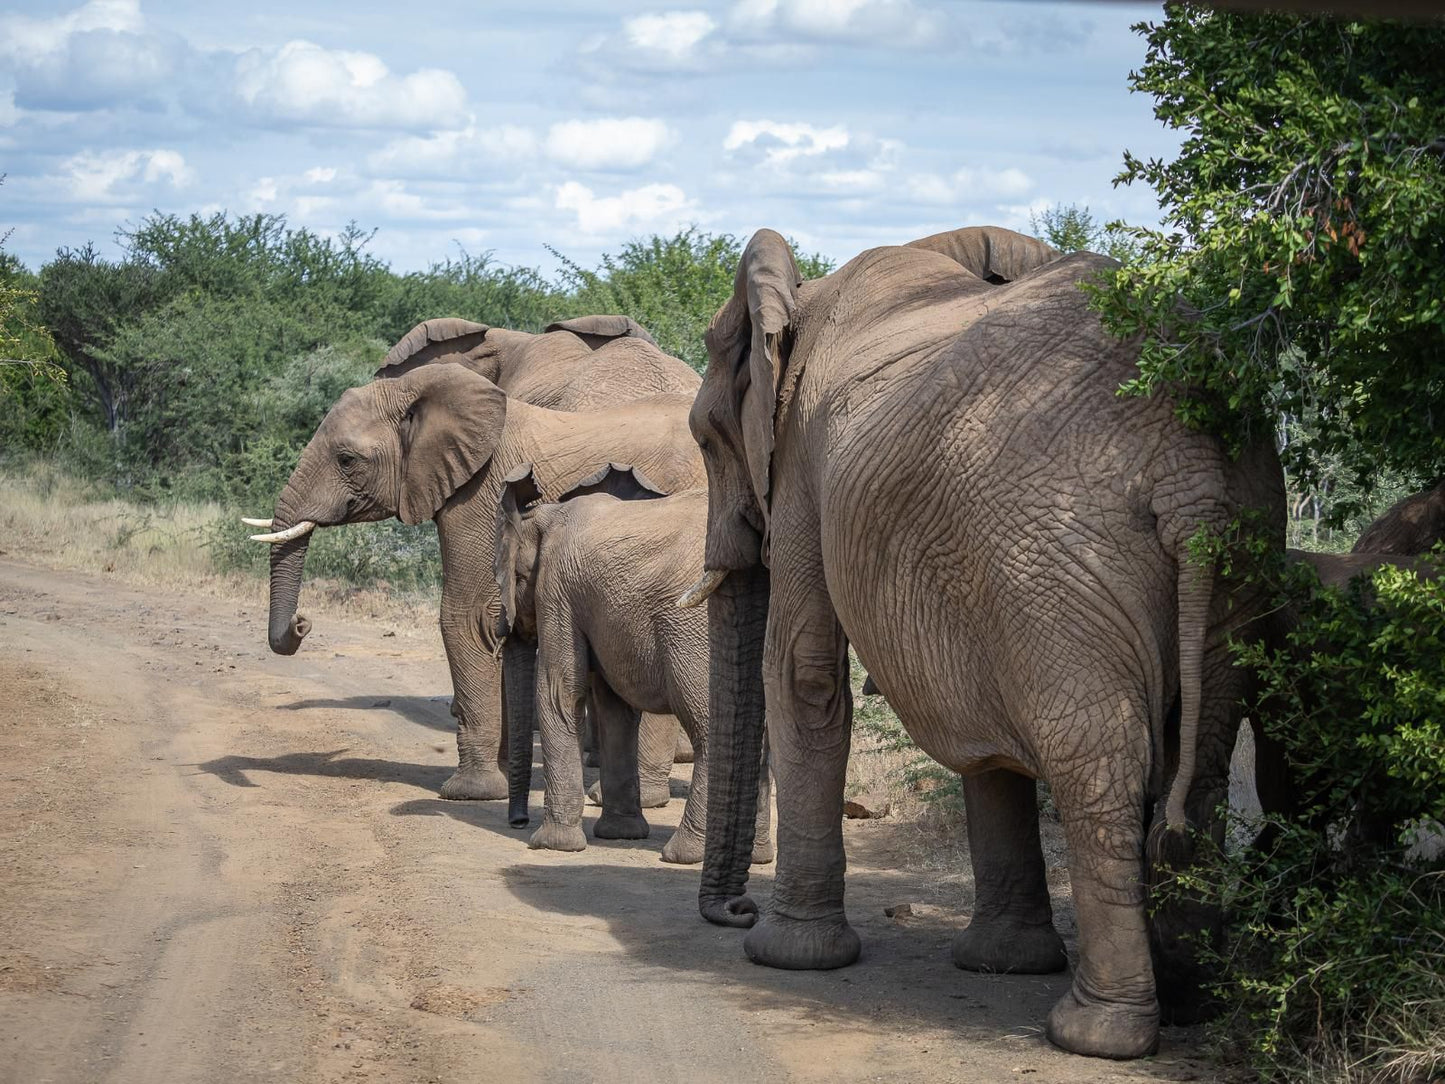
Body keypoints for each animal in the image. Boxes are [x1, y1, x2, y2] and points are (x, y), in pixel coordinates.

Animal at [491, 468, 774, 867]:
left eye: (511, 578)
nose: (518, 822)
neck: (545, 514)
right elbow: (614, 709)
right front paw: (620, 834)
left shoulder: (557, 591)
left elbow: (559, 695)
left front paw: (550, 845)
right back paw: (757, 857)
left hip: (697, 626)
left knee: (711, 726)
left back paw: (683, 854)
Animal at [676, 222, 1288, 1063]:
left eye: (707, 439)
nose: (732, 910)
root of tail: (1186, 463)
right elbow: (983, 733)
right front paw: (1001, 965)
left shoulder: (801, 463)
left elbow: (803, 673)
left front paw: (785, 956)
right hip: (1232, 553)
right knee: (1199, 761)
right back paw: (1191, 1001)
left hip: (1053, 555)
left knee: (1097, 758)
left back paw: (1094, 1033)